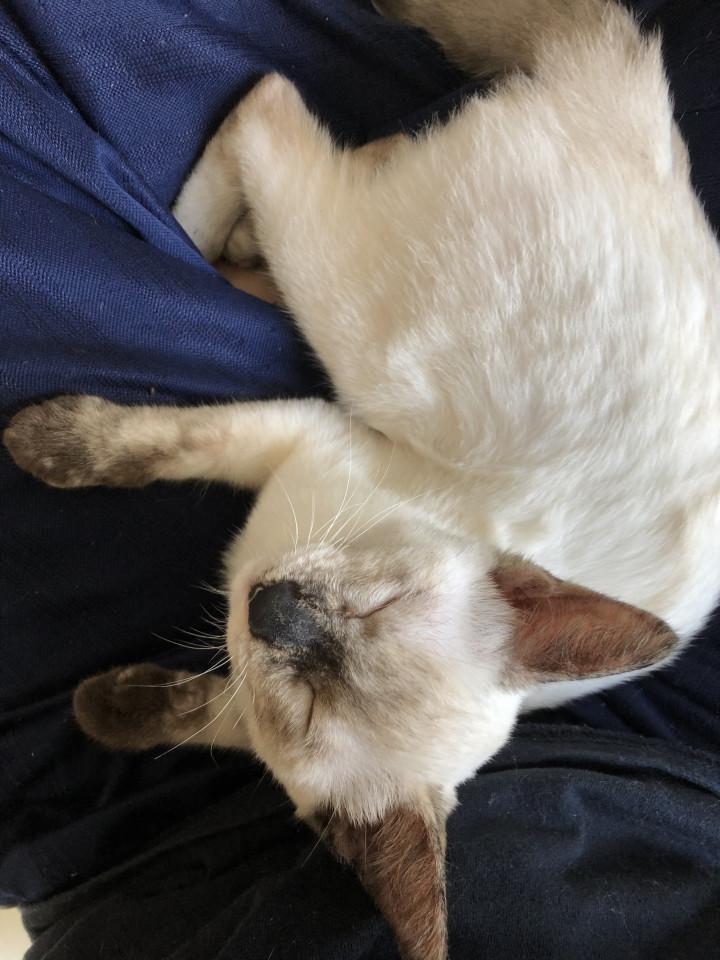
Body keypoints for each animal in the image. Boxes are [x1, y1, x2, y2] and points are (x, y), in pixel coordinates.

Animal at [5, 1, 720, 957]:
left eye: (305, 710)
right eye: (387, 603)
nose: (276, 612)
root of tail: (647, 120)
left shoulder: (252, 677)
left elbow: (202, 719)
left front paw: (103, 707)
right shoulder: (299, 435)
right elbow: (148, 448)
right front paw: (39, 442)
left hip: (346, 300)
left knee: (287, 119)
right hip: (350, 319)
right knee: (275, 104)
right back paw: (188, 239)